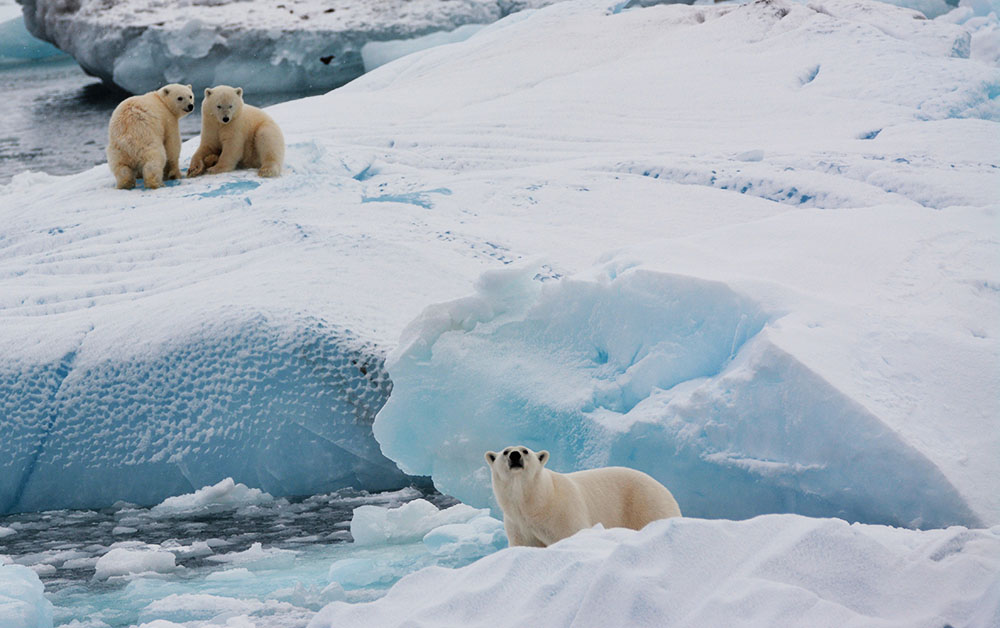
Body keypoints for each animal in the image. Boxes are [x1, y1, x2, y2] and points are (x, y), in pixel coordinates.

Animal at [482, 444, 680, 548]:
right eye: (505, 451)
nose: (515, 455)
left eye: (525, 450)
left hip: (645, 504)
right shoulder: (518, 524)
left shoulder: (563, 513)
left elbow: (573, 532)